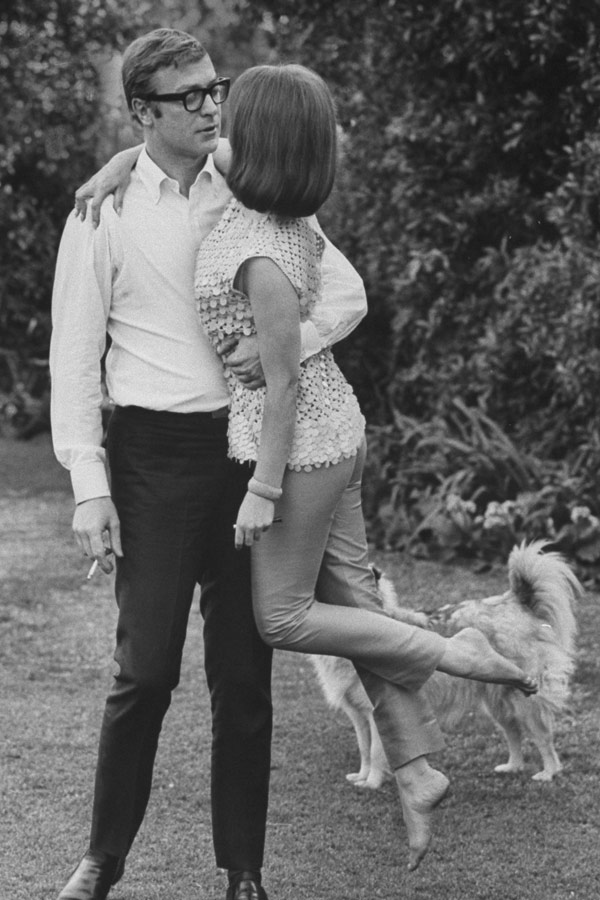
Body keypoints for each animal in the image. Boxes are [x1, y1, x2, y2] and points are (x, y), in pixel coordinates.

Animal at [312, 540, 580, 788]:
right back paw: (512, 767)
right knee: (514, 733)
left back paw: (548, 773)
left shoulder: (378, 711)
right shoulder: (357, 715)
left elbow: (376, 752)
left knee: (543, 738)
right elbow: (364, 749)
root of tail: (515, 601)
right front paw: (362, 776)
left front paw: (372, 782)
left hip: (525, 701)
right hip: (497, 703)